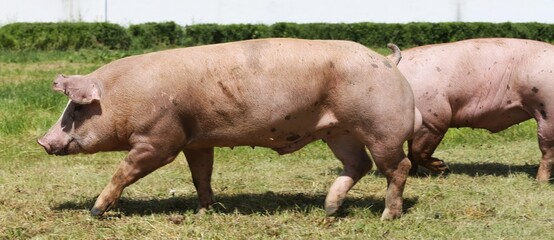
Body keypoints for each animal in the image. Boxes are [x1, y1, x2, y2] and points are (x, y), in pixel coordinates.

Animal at [38, 38, 416, 220]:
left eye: (77, 108)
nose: (43, 141)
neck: (124, 97)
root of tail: (387, 61)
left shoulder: (158, 140)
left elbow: (124, 171)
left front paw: (95, 212)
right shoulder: (196, 141)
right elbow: (201, 175)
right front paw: (204, 210)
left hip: (381, 126)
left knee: (398, 166)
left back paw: (387, 217)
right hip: (339, 131)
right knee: (358, 164)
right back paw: (330, 210)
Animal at [396, 38, 552, 183]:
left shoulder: (433, 120)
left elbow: (418, 151)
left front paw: (443, 167)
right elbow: (411, 151)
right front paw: (412, 173)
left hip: (547, 111)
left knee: (548, 151)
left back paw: (540, 181)